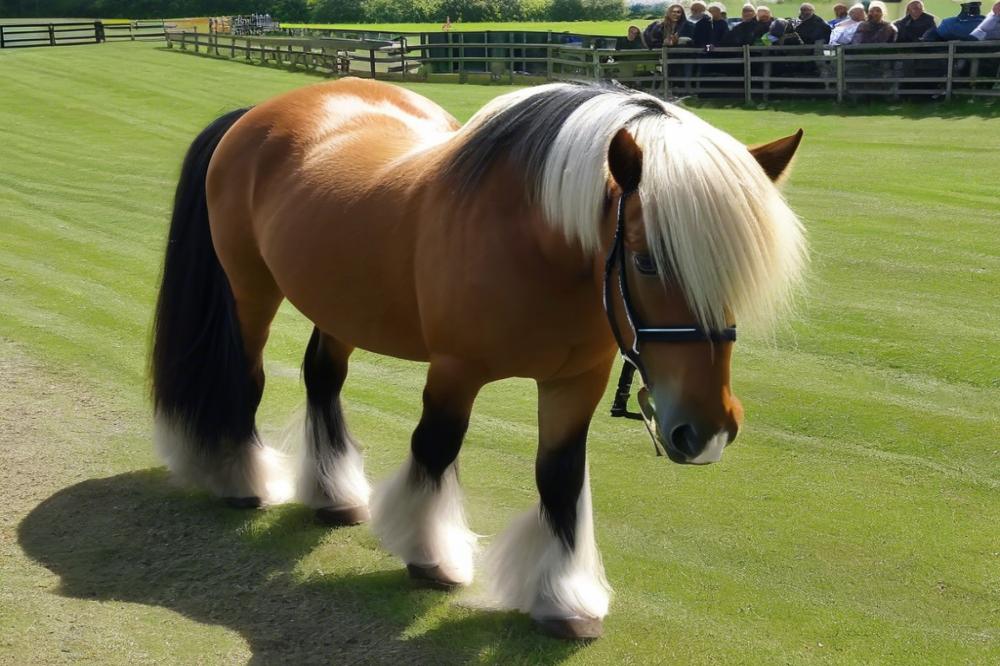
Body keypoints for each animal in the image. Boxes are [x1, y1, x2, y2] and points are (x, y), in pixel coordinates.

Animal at [148, 78, 804, 640]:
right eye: (645, 260)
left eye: (735, 275)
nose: (706, 431)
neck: (532, 241)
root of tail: (259, 112)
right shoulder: (455, 371)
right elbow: (435, 448)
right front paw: (430, 556)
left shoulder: (575, 384)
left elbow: (560, 478)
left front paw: (564, 600)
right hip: (251, 292)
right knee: (247, 380)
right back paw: (243, 481)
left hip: (338, 308)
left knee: (322, 379)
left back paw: (334, 495)